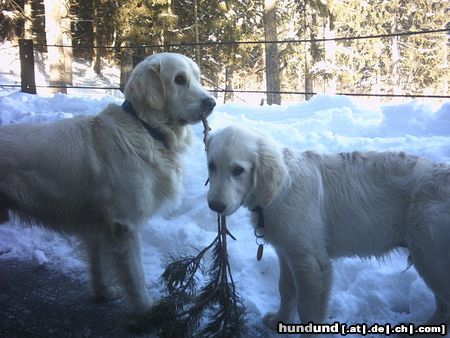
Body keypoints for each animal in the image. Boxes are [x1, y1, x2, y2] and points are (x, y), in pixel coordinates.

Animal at [0, 52, 216, 314]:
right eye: (179, 80)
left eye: (197, 77)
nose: (212, 103)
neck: (145, 128)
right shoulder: (124, 226)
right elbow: (135, 276)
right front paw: (147, 309)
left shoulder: (98, 224)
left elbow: (97, 264)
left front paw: (103, 292)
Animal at [206, 125, 448, 334]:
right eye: (211, 165)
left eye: (238, 170)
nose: (215, 206)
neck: (279, 189)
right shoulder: (287, 252)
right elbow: (286, 289)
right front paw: (280, 319)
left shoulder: (311, 262)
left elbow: (308, 310)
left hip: (431, 256)